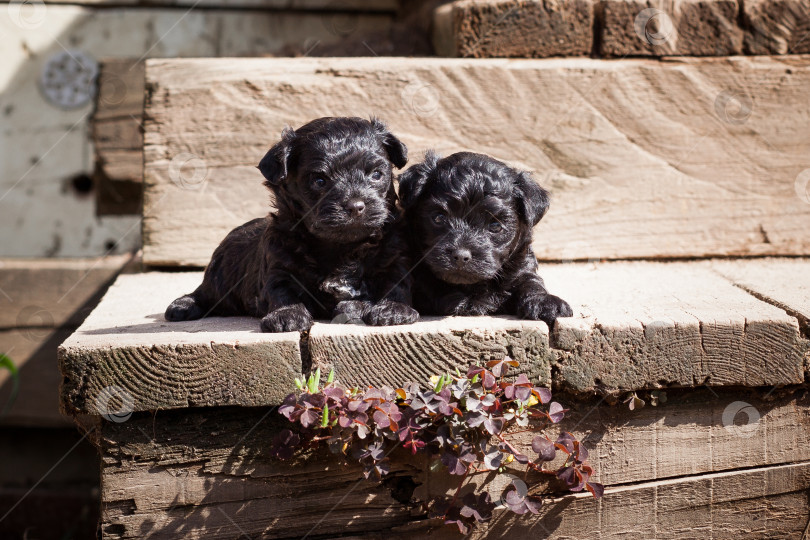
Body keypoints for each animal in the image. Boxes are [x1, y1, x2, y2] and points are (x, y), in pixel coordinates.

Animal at [163, 116, 416, 332]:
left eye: (376, 174)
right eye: (319, 180)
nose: (355, 206)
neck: (340, 247)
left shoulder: (393, 257)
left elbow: (396, 284)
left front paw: (392, 310)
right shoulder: (278, 263)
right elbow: (281, 291)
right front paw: (287, 315)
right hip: (220, 276)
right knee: (205, 293)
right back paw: (183, 305)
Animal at [396, 150, 572, 326]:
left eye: (495, 226)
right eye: (439, 218)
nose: (461, 256)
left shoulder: (522, 264)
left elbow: (531, 281)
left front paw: (545, 302)